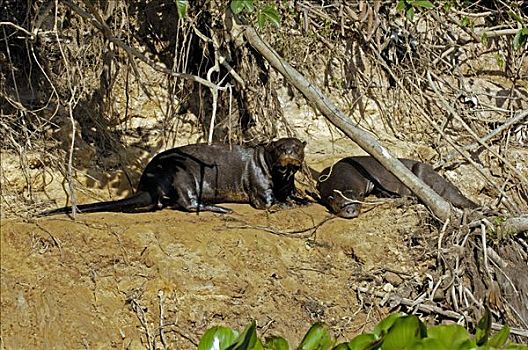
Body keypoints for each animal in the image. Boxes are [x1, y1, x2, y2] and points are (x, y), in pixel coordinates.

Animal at [40, 137, 306, 216]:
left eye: (297, 146)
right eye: (279, 148)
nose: (290, 152)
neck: (281, 178)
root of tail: (149, 181)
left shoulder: (288, 185)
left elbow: (294, 194)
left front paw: (302, 200)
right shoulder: (260, 183)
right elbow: (269, 201)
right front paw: (286, 205)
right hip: (182, 173)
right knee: (188, 203)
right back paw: (219, 208)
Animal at [318, 157, 478, 219]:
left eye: (357, 203)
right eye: (341, 204)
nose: (351, 211)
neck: (343, 173)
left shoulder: (369, 178)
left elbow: (380, 187)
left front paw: (392, 195)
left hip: (420, 170)